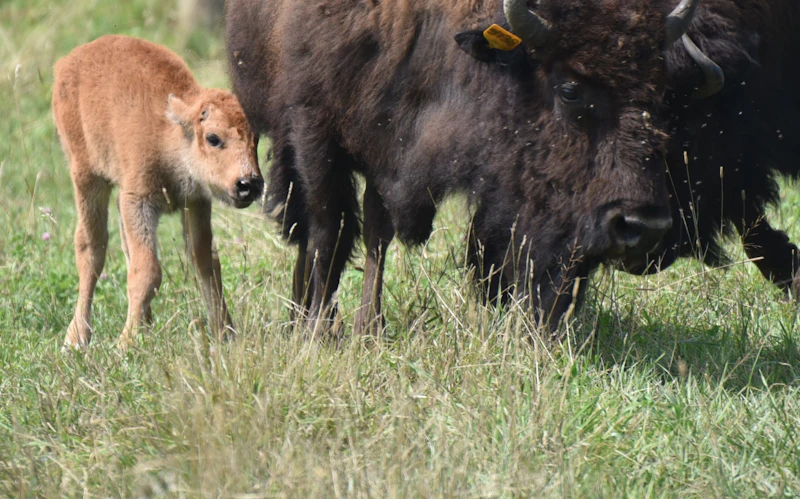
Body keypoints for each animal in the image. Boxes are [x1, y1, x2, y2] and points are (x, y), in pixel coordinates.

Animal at [53, 35, 264, 349]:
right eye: (213, 138)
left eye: (256, 138)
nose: (248, 183)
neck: (172, 135)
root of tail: (67, 63)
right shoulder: (138, 201)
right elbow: (148, 272)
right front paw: (125, 343)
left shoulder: (196, 202)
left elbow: (206, 262)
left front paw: (225, 332)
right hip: (87, 176)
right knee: (91, 247)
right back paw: (77, 337)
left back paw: (145, 323)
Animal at [226, 0, 725, 334]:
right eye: (569, 90)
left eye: (660, 95)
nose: (643, 226)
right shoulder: (315, 129)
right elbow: (329, 231)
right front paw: (320, 332)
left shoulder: (389, 153)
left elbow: (374, 234)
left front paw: (367, 330)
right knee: (311, 229)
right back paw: (303, 319)